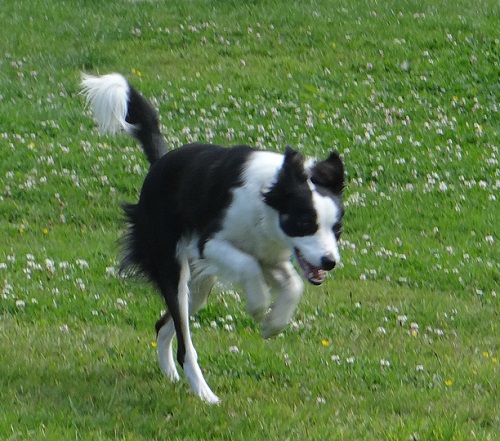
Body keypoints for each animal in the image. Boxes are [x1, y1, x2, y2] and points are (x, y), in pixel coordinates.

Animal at [81, 72, 344, 402]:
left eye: (337, 229)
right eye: (306, 223)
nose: (330, 261)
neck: (268, 197)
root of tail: (160, 162)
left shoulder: (268, 255)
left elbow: (292, 284)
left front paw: (274, 323)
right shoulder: (210, 243)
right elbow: (248, 267)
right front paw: (259, 305)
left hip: (198, 287)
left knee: (163, 326)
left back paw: (171, 375)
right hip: (174, 268)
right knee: (185, 345)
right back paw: (206, 395)